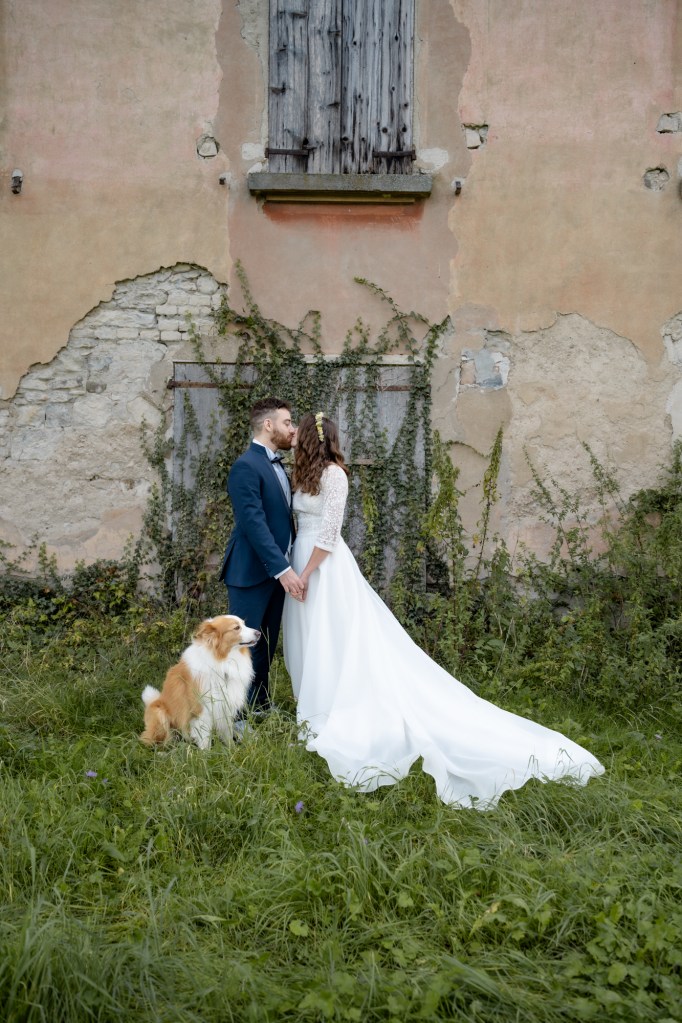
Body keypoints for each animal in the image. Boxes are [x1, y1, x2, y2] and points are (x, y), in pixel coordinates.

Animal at [140, 615, 260, 748]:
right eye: (236, 628)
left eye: (244, 624)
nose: (259, 633)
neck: (221, 661)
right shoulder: (202, 711)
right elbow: (204, 739)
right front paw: (206, 753)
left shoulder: (224, 707)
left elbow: (227, 734)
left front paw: (232, 750)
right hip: (160, 713)